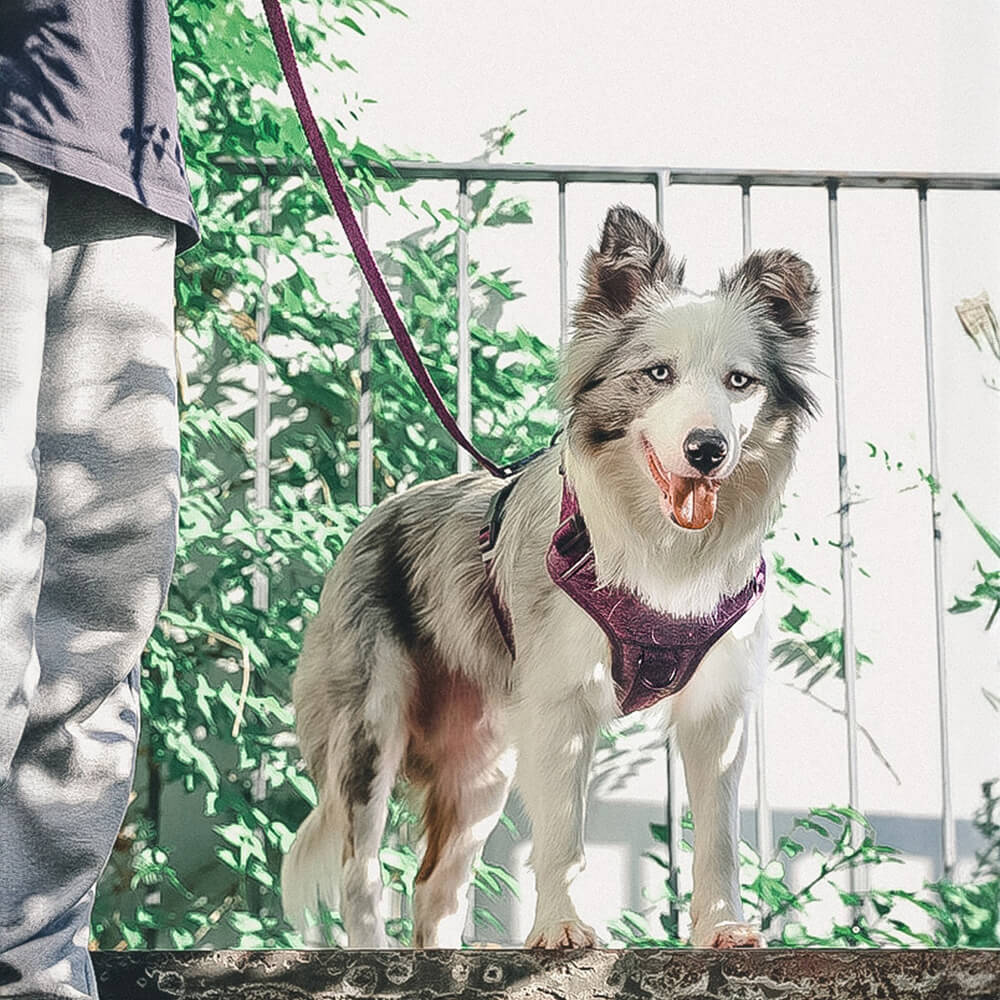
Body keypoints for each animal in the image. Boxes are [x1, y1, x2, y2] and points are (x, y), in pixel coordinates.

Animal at [278, 205, 816, 952]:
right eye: (658, 373)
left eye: (740, 381)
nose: (707, 450)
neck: (661, 551)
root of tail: (371, 519)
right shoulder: (560, 704)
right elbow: (563, 833)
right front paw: (560, 927)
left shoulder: (718, 710)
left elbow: (719, 837)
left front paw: (722, 928)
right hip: (368, 730)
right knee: (363, 872)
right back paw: (374, 955)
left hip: (483, 764)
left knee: (436, 886)